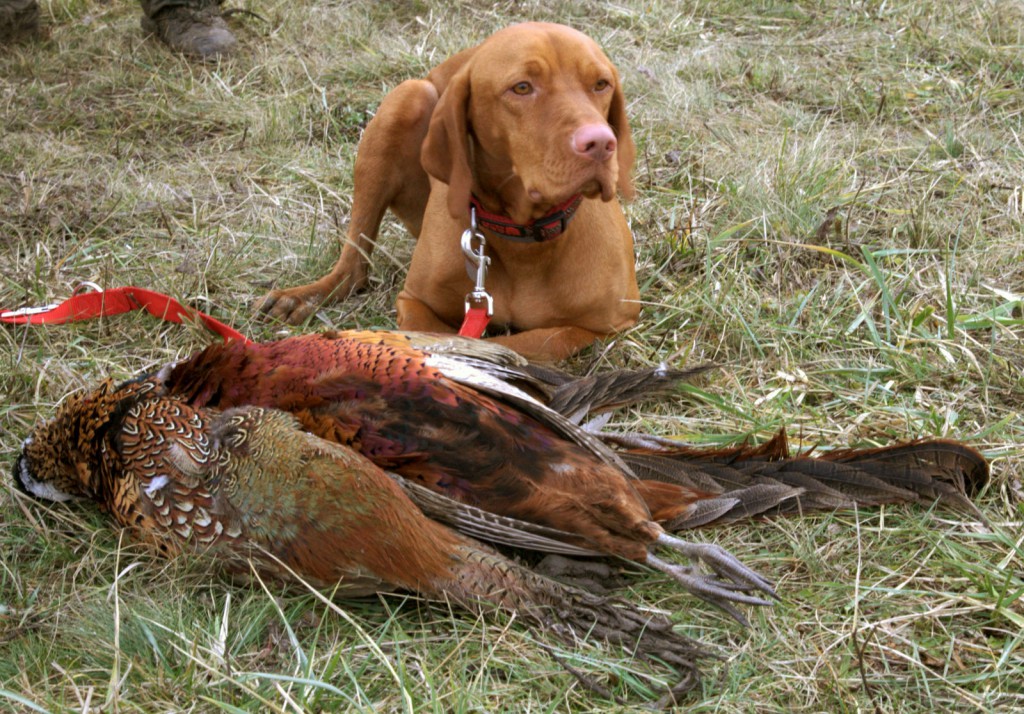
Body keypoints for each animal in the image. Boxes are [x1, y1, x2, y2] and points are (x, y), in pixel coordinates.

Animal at [258, 23, 638, 362]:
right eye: (522, 87)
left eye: (601, 84)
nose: (600, 143)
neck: (523, 238)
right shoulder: (414, 301)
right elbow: (432, 336)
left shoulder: (608, 324)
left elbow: (528, 344)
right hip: (405, 98)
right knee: (353, 264)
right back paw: (306, 296)